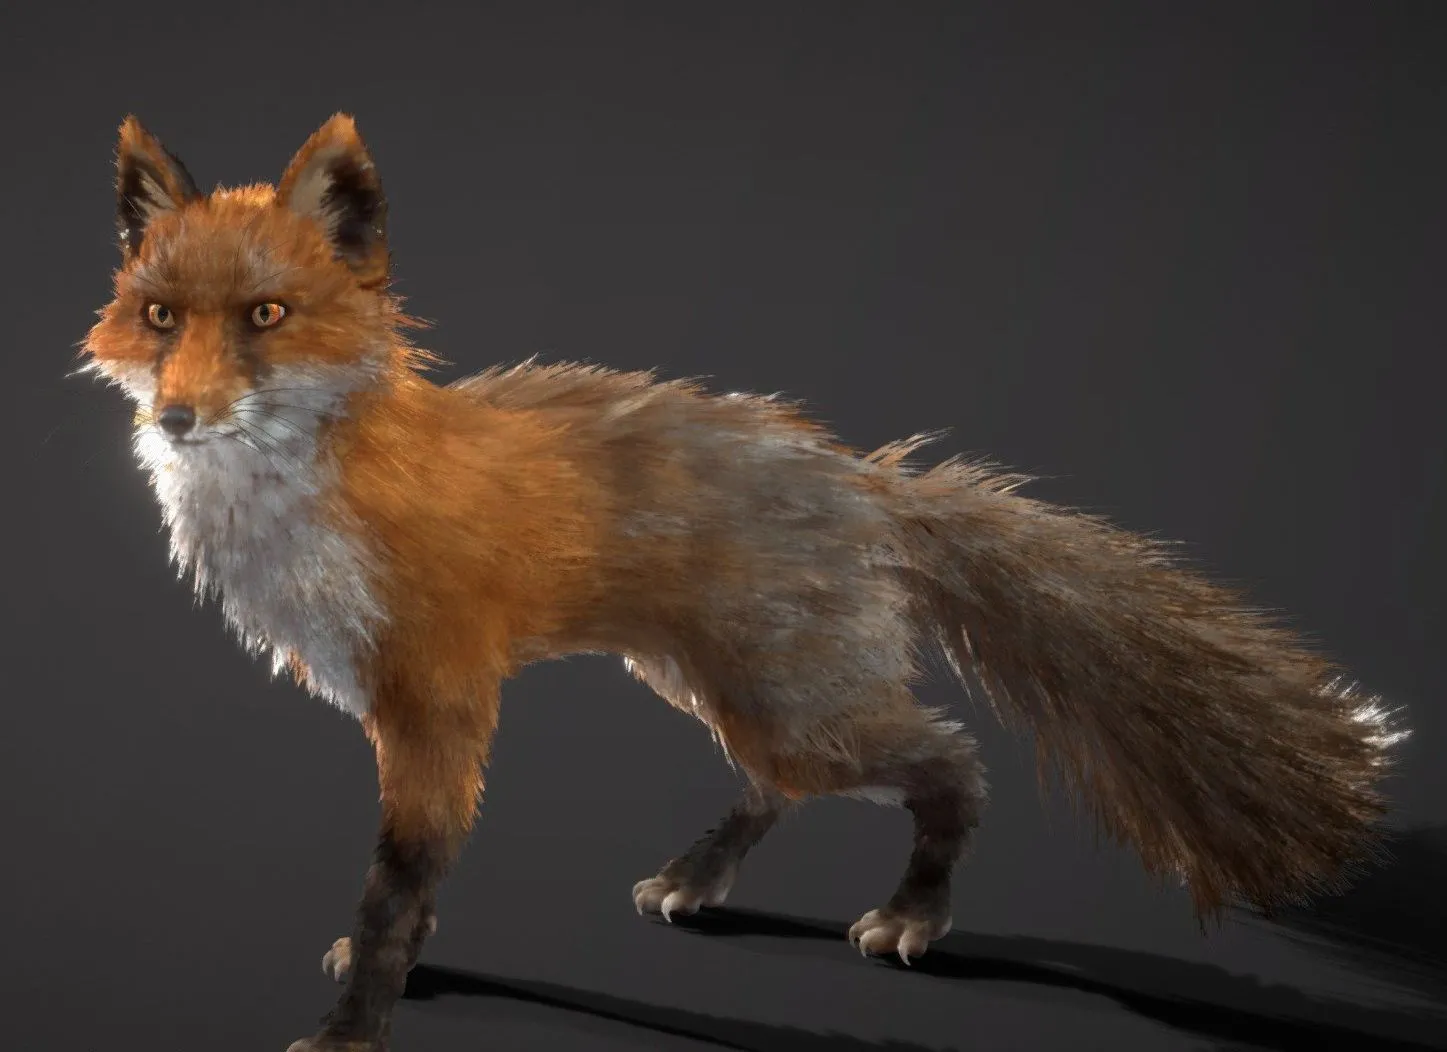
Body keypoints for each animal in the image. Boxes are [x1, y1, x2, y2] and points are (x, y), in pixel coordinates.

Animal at [79, 113, 1408, 1052]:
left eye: (267, 313)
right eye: (160, 316)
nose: (179, 415)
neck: (318, 500)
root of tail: (864, 476)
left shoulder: (439, 700)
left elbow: (396, 885)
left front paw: (357, 1019)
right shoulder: (400, 714)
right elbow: (415, 881)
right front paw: (388, 968)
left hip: (794, 702)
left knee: (950, 760)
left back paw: (914, 913)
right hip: (703, 678)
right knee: (776, 783)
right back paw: (698, 876)